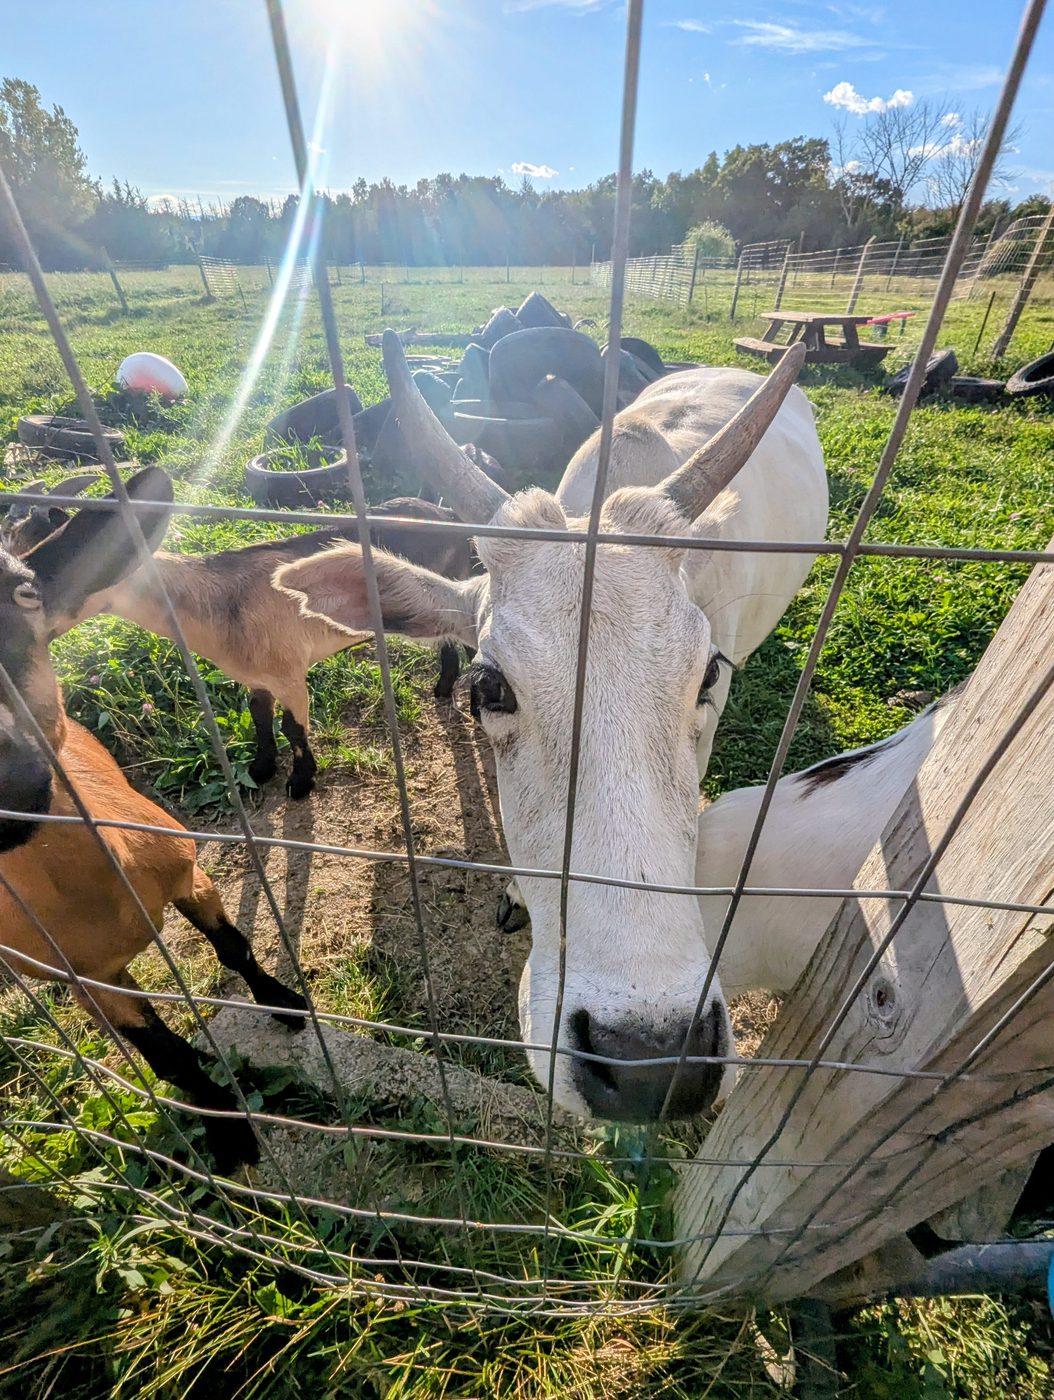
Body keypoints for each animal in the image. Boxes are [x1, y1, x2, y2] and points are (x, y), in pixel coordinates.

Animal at [0, 467, 307, 1173]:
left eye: (25, 592)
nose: (6, 773)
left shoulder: (189, 869)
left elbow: (234, 946)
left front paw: (287, 1005)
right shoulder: (89, 983)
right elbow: (168, 1059)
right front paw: (230, 1136)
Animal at [4, 491, 475, 800]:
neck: (222, 605)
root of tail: (449, 513)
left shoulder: (289, 673)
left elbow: (292, 727)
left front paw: (300, 782)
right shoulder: (257, 677)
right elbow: (260, 717)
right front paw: (262, 769)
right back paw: (447, 686)